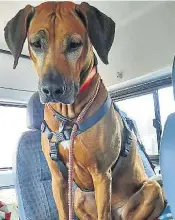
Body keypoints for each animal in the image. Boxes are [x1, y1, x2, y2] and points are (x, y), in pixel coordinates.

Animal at [4, 1, 165, 220]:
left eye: (74, 44)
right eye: (36, 43)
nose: (52, 89)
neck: (68, 118)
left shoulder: (101, 174)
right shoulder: (58, 179)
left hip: (151, 188)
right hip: (79, 197)